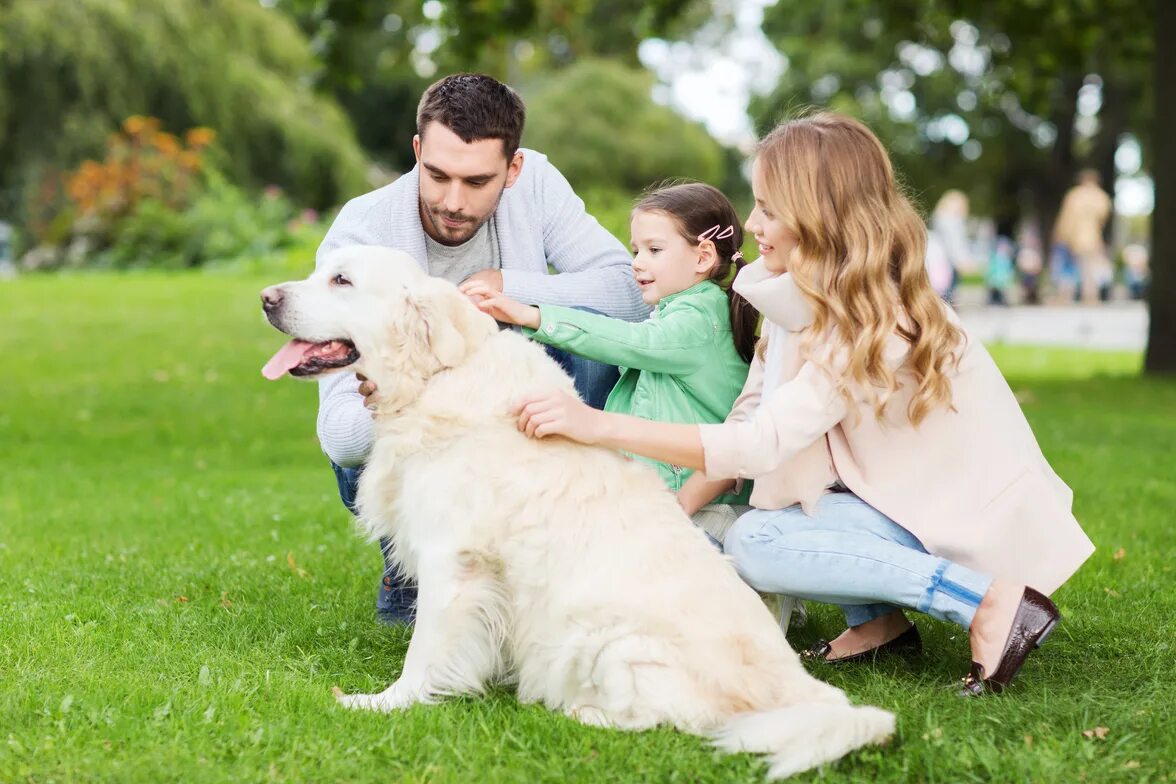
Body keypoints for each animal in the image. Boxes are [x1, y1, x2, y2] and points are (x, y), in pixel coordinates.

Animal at [264, 246, 889, 780]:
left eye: (341, 280)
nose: (268, 298)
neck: (436, 377)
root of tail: (796, 686)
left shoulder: (452, 560)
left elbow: (425, 649)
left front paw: (385, 702)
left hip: (606, 639)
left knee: (671, 721)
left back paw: (578, 712)